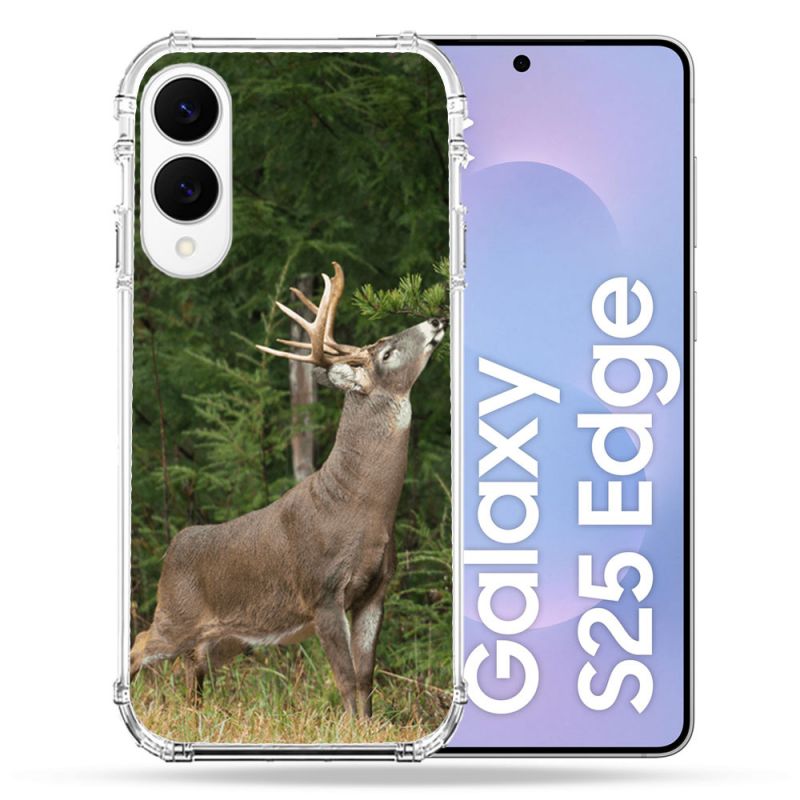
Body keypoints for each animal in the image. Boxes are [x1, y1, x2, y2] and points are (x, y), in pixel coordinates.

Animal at [130, 262, 447, 717]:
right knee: (141, 644)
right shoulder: (323, 592)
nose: (437, 320)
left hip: (228, 635)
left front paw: (369, 726)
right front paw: (351, 728)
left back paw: (197, 713)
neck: (361, 509)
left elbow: (366, 678)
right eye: (386, 353)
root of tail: (173, 547)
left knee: (191, 664)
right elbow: (345, 678)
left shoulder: (376, 591)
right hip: (176, 612)